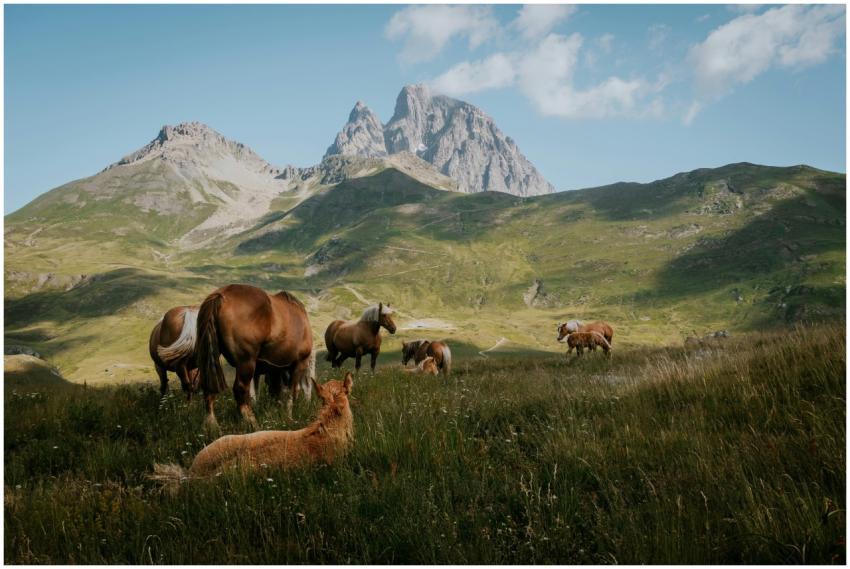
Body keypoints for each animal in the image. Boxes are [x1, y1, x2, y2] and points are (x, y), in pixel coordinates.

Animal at [196, 284, 314, 430]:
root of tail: (221, 295)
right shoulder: (299, 363)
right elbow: (292, 392)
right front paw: (289, 417)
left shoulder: (274, 369)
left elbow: (276, 392)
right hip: (246, 363)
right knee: (240, 390)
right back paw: (252, 422)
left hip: (210, 357)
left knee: (209, 388)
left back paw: (212, 425)